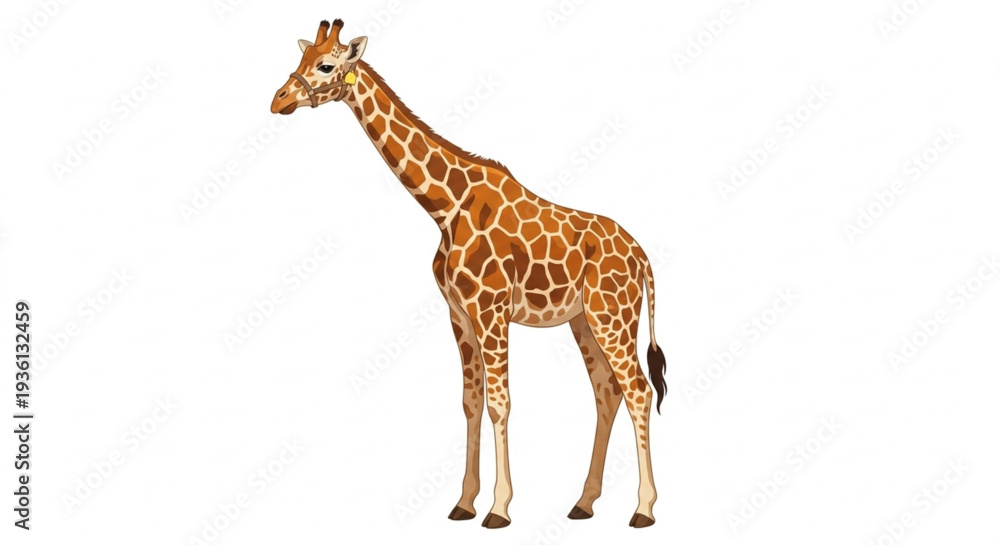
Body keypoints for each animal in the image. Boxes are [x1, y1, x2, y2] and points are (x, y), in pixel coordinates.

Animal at [270, 19, 668, 529]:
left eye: (325, 65)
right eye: (300, 60)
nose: (278, 99)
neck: (445, 206)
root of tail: (642, 258)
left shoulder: (490, 309)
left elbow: (500, 402)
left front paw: (498, 508)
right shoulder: (459, 313)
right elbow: (471, 401)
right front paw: (463, 503)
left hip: (612, 316)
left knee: (637, 389)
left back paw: (644, 509)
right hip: (584, 320)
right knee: (607, 391)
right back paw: (583, 503)